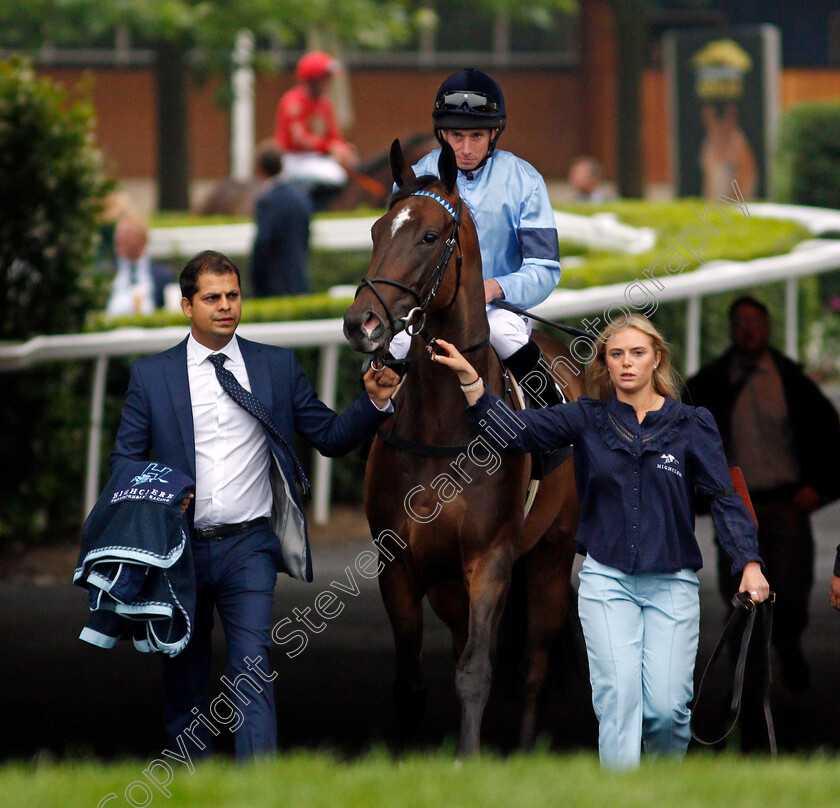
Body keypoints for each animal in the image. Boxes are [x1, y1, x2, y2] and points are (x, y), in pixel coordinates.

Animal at [342, 140, 584, 756]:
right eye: (375, 231)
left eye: (430, 237)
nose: (361, 323)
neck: (442, 429)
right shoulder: (399, 564)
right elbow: (410, 679)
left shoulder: (491, 557)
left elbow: (477, 669)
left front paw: (467, 759)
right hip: (449, 584)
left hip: (550, 554)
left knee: (534, 664)